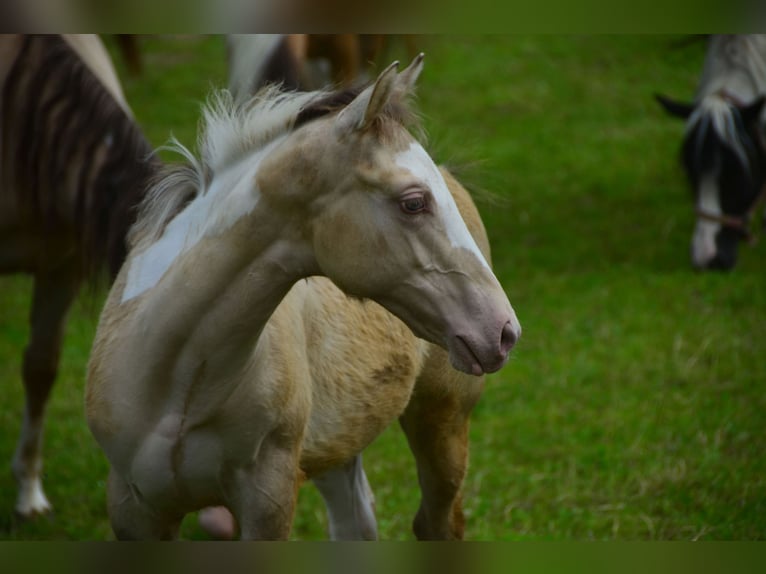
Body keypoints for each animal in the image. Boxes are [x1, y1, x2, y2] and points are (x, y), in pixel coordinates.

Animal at [88, 56, 520, 544]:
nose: (504, 330)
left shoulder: (269, 499)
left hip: (442, 417)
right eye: (413, 202)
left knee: (437, 522)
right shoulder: (133, 507)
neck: (176, 384)